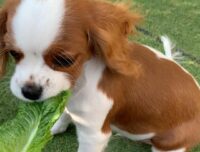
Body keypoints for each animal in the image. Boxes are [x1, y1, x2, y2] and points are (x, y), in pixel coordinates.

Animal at [0, 0, 200, 152]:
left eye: (64, 60)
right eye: (13, 53)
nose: (30, 92)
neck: (80, 80)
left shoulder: (94, 136)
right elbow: (65, 112)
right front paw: (55, 126)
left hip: (170, 143)